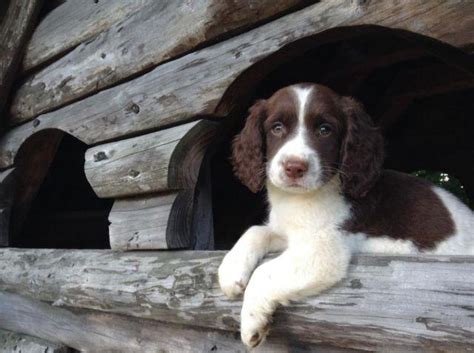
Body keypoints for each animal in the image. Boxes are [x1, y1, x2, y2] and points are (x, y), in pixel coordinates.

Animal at [218, 82, 474, 346]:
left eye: (325, 130)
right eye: (277, 128)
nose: (294, 168)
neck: (301, 198)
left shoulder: (324, 249)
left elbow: (264, 272)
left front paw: (251, 323)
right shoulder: (289, 232)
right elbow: (257, 230)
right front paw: (230, 271)